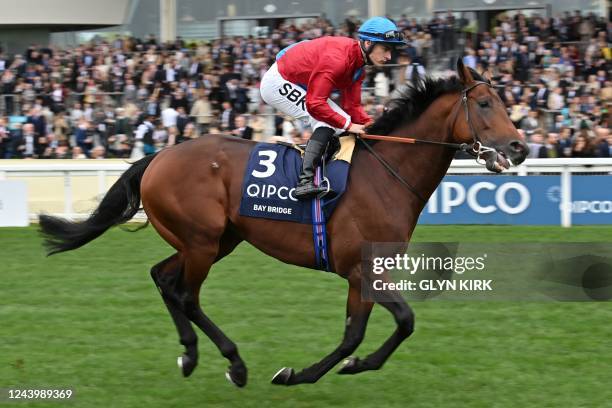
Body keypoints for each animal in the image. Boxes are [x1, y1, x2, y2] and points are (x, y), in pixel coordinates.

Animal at [38, 59, 528, 386]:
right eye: (485, 103)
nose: (520, 147)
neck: (388, 173)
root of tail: (159, 155)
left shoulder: (363, 274)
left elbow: (356, 334)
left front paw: (325, 369)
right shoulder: (363, 269)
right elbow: (402, 320)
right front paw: (304, 373)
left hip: (216, 240)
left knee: (162, 278)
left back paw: (190, 356)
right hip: (202, 241)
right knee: (186, 294)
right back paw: (234, 364)